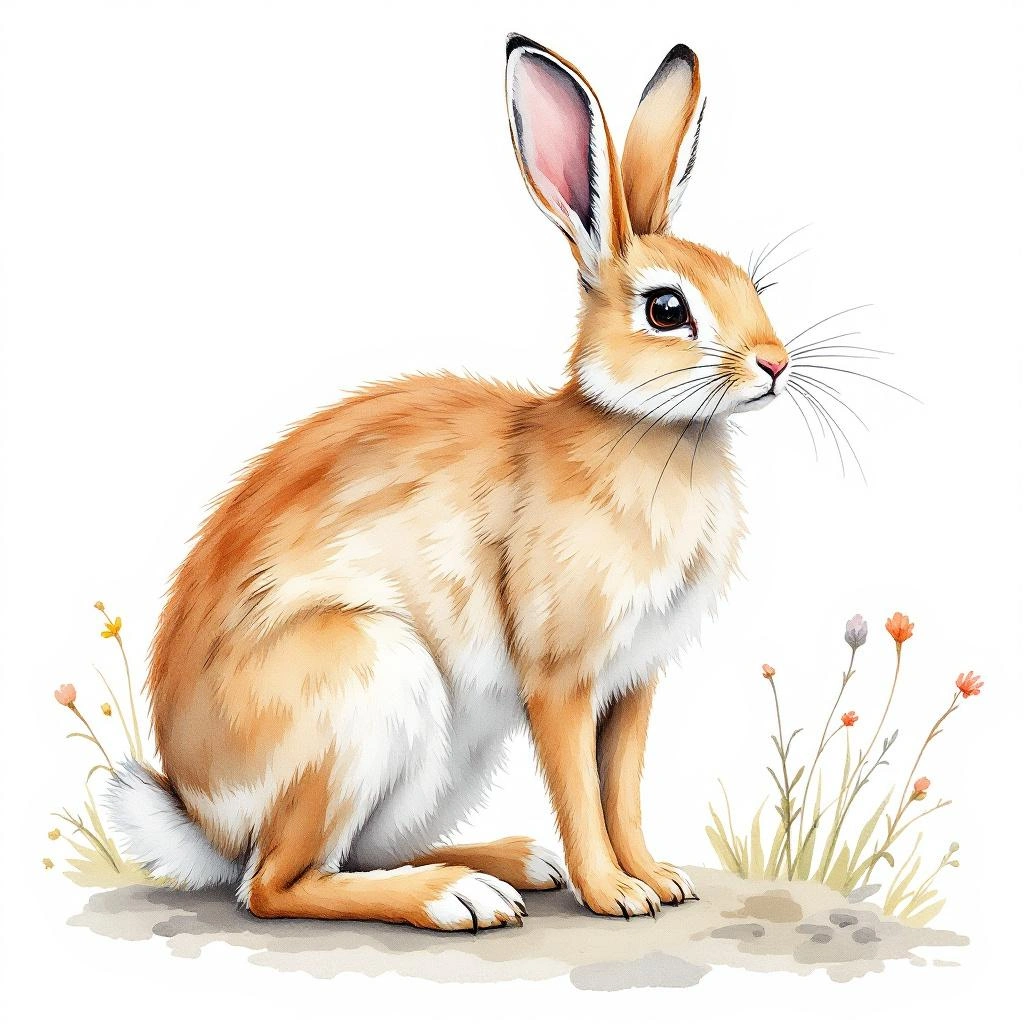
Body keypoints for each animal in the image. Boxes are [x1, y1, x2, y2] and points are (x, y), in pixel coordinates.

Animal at [106, 34, 792, 931]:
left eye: (752, 285)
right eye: (667, 310)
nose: (776, 364)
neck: (644, 429)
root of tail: (199, 814)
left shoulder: (635, 682)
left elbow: (624, 787)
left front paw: (657, 880)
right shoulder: (558, 676)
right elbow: (581, 789)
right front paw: (614, 895)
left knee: (348, 854)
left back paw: (513, 863)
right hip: (367, 688)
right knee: (277, 883)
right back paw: (459, 898)